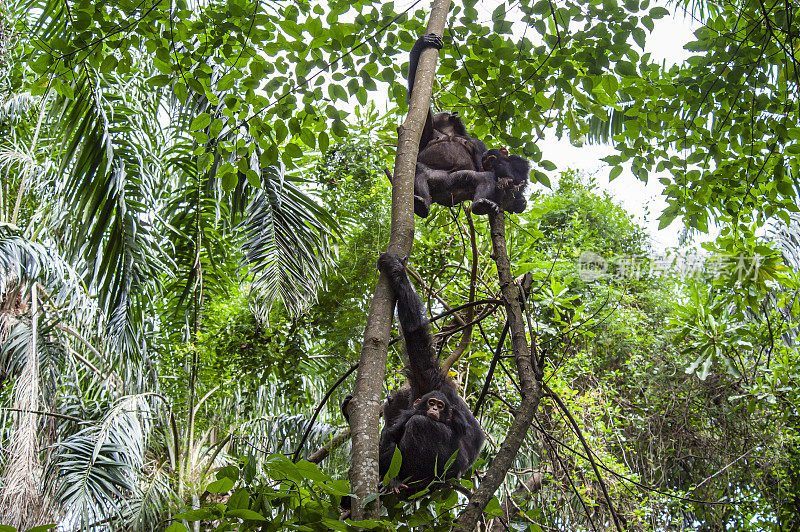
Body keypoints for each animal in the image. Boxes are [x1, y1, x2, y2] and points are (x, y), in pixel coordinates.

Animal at [342, 254, 484, 494]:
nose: (388, 403)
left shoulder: (430, 380)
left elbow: (415, 334)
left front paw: (396, 270)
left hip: (446, 466)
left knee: (421, 425)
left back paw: (399, 479)